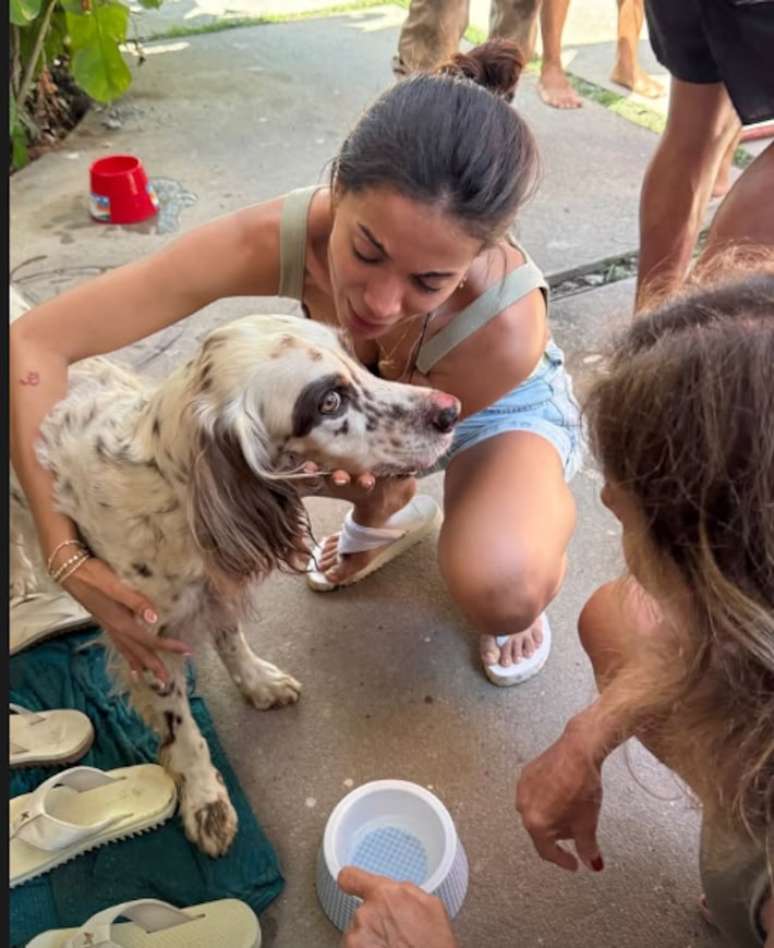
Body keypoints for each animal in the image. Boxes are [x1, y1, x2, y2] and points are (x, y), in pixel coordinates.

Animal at [10, 316, 460, 860]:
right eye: (329, 402)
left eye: (354, 356)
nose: (451, 410)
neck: (173, 496)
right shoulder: (148, 638)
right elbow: (183, 728)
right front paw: (204, 799)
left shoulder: (217, 586)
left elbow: (231, 641)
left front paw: (258, 683)